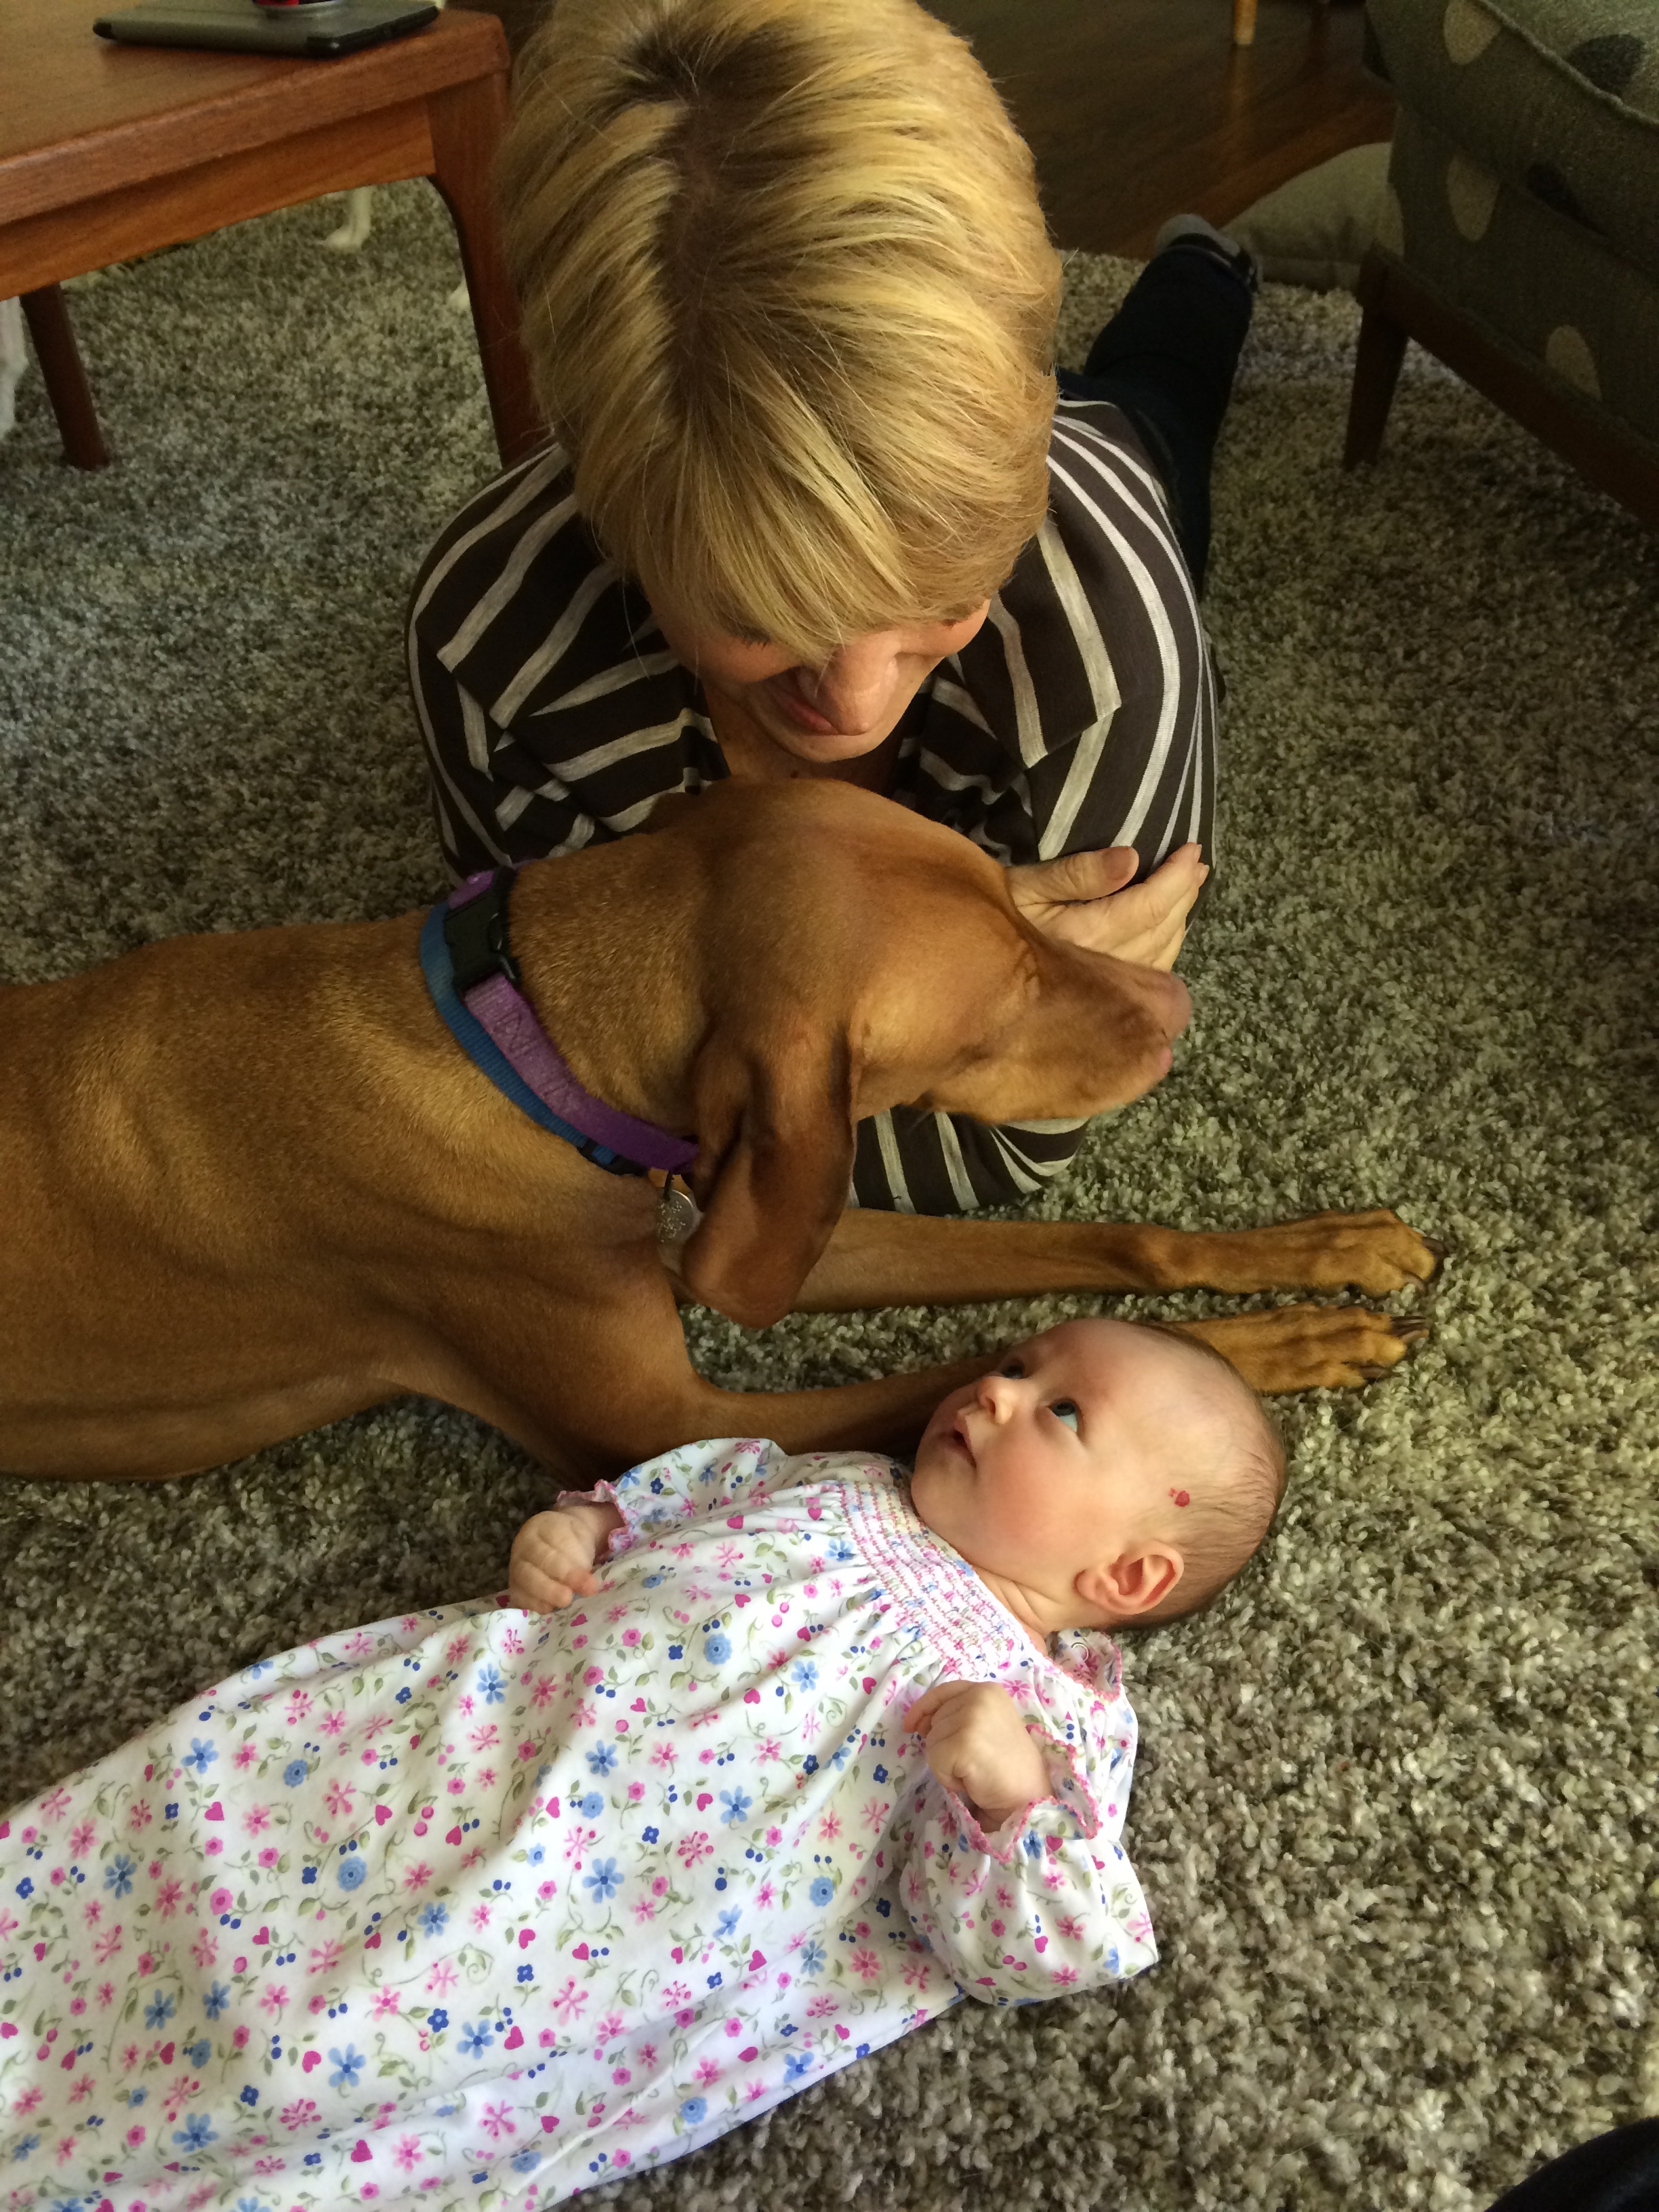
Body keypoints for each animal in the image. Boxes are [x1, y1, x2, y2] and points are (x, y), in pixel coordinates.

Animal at [0, 779, 1435, 1485]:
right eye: (995, 1008)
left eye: (1010, 893)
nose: (1177, 1005)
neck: (525, 1032)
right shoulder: (663, 1419)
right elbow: (989, 1355)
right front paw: (1269, 1347)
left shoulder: (776, 1213)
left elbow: (1117, 1240)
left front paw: (1316, 1249)